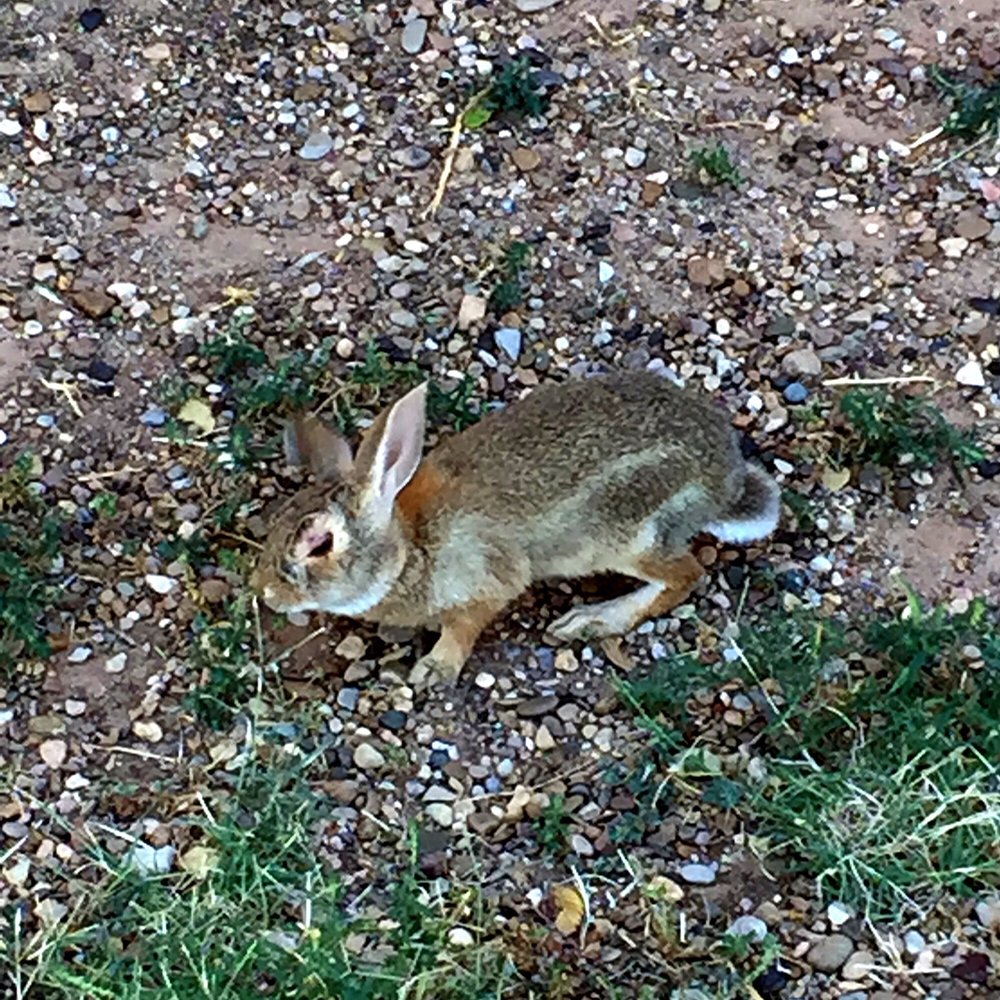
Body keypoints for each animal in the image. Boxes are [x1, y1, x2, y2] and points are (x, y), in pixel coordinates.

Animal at [250, 371, 780, 688]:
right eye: (278, 519)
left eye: (320, 544)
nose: (266, 593)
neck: (410, 544)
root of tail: (725, 481)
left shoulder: (487, 581)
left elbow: (465, 626)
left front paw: (433, 670)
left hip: (630, 535)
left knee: (684, 576)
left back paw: (588, 621)